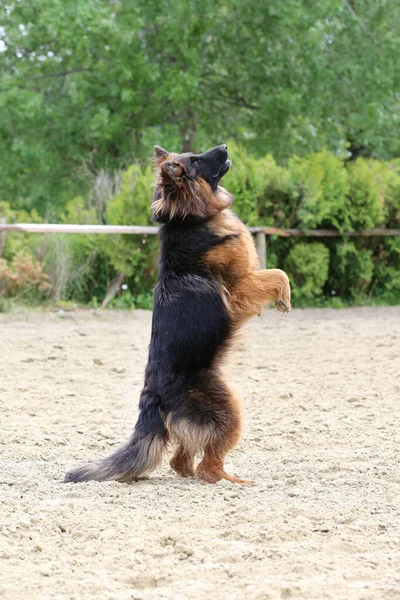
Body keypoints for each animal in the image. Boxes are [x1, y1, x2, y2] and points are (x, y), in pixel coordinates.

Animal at [65, 143, 290, 486]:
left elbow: (275, 274)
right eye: (196, 160)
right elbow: (278, 274)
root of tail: (153, 399)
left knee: (180, 461)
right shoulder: (239, 289)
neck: (191, 219)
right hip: (230, 411)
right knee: (207, 466)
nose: (224, 146)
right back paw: (235, 481)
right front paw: (284, 300)